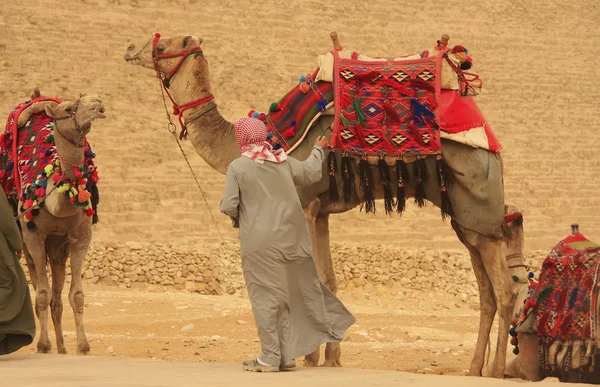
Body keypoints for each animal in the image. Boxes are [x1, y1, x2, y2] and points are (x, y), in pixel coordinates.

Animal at [0, 88, 105, 354]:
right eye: (68, 108)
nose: (98, 103)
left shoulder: (81, 235)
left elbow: (76, 295)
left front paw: (82, 347)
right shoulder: (33, 236)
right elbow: (41, 295)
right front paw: (43, 346)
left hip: (58, 246)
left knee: (57, 297)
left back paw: (63, 348)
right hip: (28, 244)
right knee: (42, 290)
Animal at [123, 33, 516, 378]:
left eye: (162, 46)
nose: (129, 49)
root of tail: (491, 142)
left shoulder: (306, 205)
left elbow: (310, 278)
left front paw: (309, 357)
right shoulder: (322, 212)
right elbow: (328, 278)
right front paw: (331, 356)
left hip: (477, 200)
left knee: (504, 289)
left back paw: (497, 369)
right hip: (467, 220)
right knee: (486, 291)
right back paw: (475, 367)